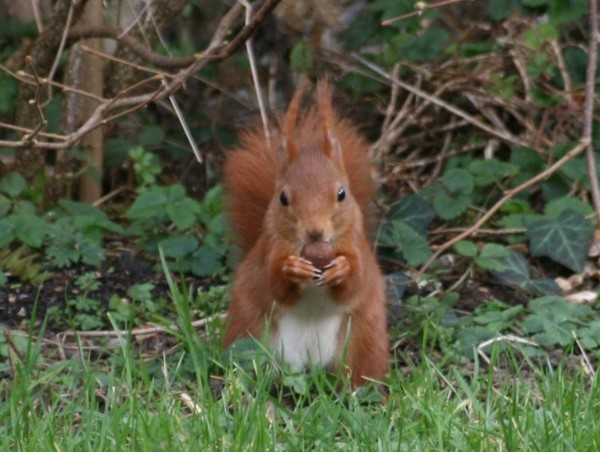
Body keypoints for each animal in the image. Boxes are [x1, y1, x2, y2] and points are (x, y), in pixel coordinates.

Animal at [223, 80, 386, 384]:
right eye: (283, 198)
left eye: (342, 194)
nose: (315, 232)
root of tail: (309, 363)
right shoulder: (270, 248)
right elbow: (274, 283)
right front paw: (292, 269)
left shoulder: (357, 246)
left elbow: (356, 281)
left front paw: (342, 269)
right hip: (249, 329)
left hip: (364, 338)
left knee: (361, 375)